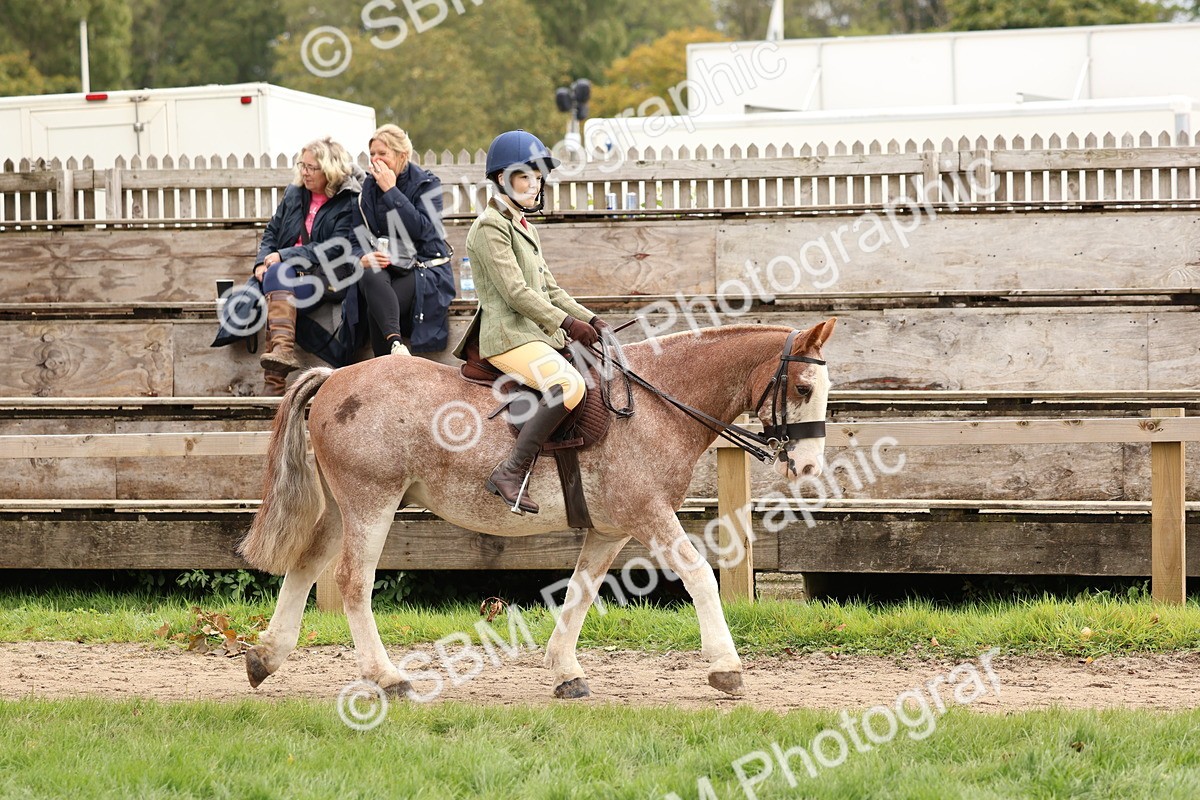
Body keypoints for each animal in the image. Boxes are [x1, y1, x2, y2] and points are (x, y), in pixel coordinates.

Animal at [238, 319, 836, 699]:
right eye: (804, 387)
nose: (808, 466)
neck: (657, 402)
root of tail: (335, 376)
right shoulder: (648, 514)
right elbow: (698, 576)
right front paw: (726, 669)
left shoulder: (611, 529)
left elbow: (582, 591)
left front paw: (564, 670)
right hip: (371, 502)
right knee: (354, 581)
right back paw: (388, 678)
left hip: (344, 509)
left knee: (306, 567)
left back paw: (266, 657)